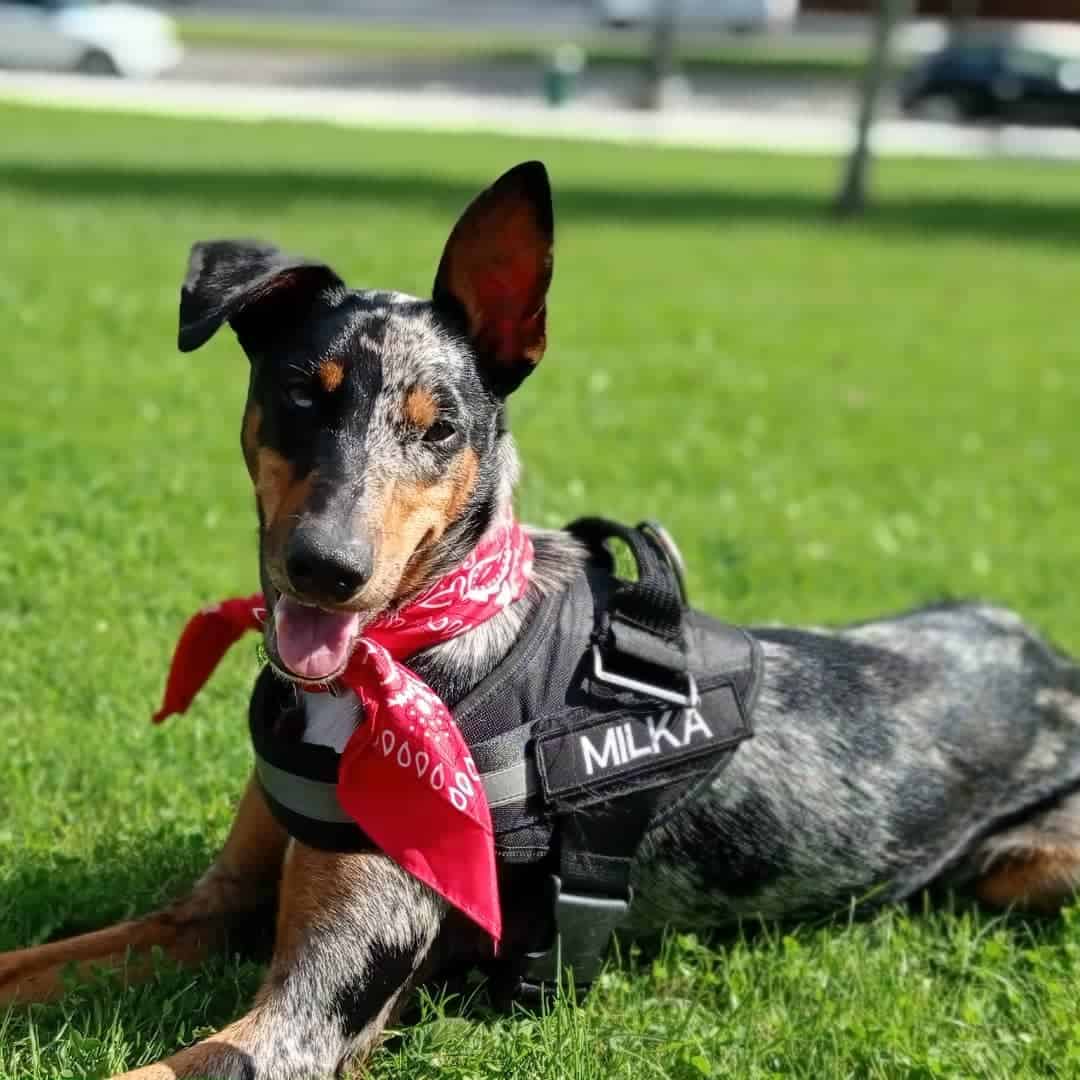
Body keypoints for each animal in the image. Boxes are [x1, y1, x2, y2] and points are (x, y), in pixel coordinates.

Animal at [2, 162, 1080, 1080]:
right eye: (302, 393)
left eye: (440, 427)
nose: (327, 567)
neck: (412, 652)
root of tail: (1048, 656)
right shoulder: (205, 914)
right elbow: (32, 960)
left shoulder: (299, 1023)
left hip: (1033, 870)